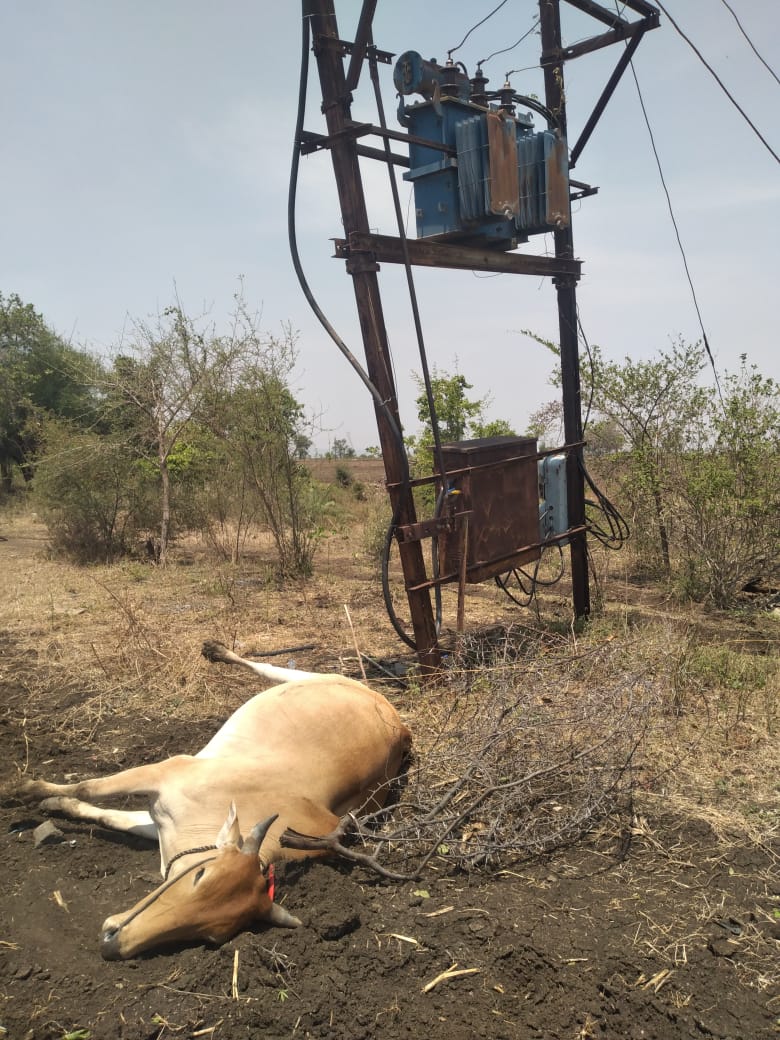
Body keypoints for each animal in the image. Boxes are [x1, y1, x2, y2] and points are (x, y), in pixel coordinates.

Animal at [16, 636, 409, 960]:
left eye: (212, 936)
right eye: (200, 874)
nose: (111, 944)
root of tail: (399, 722)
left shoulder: (161, 816)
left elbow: (107, 813)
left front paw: (52, 804)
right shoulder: (165, 774)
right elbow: (89, 790)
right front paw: (25, 792)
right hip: (309, 679)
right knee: (268, 669)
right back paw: (217, 651)